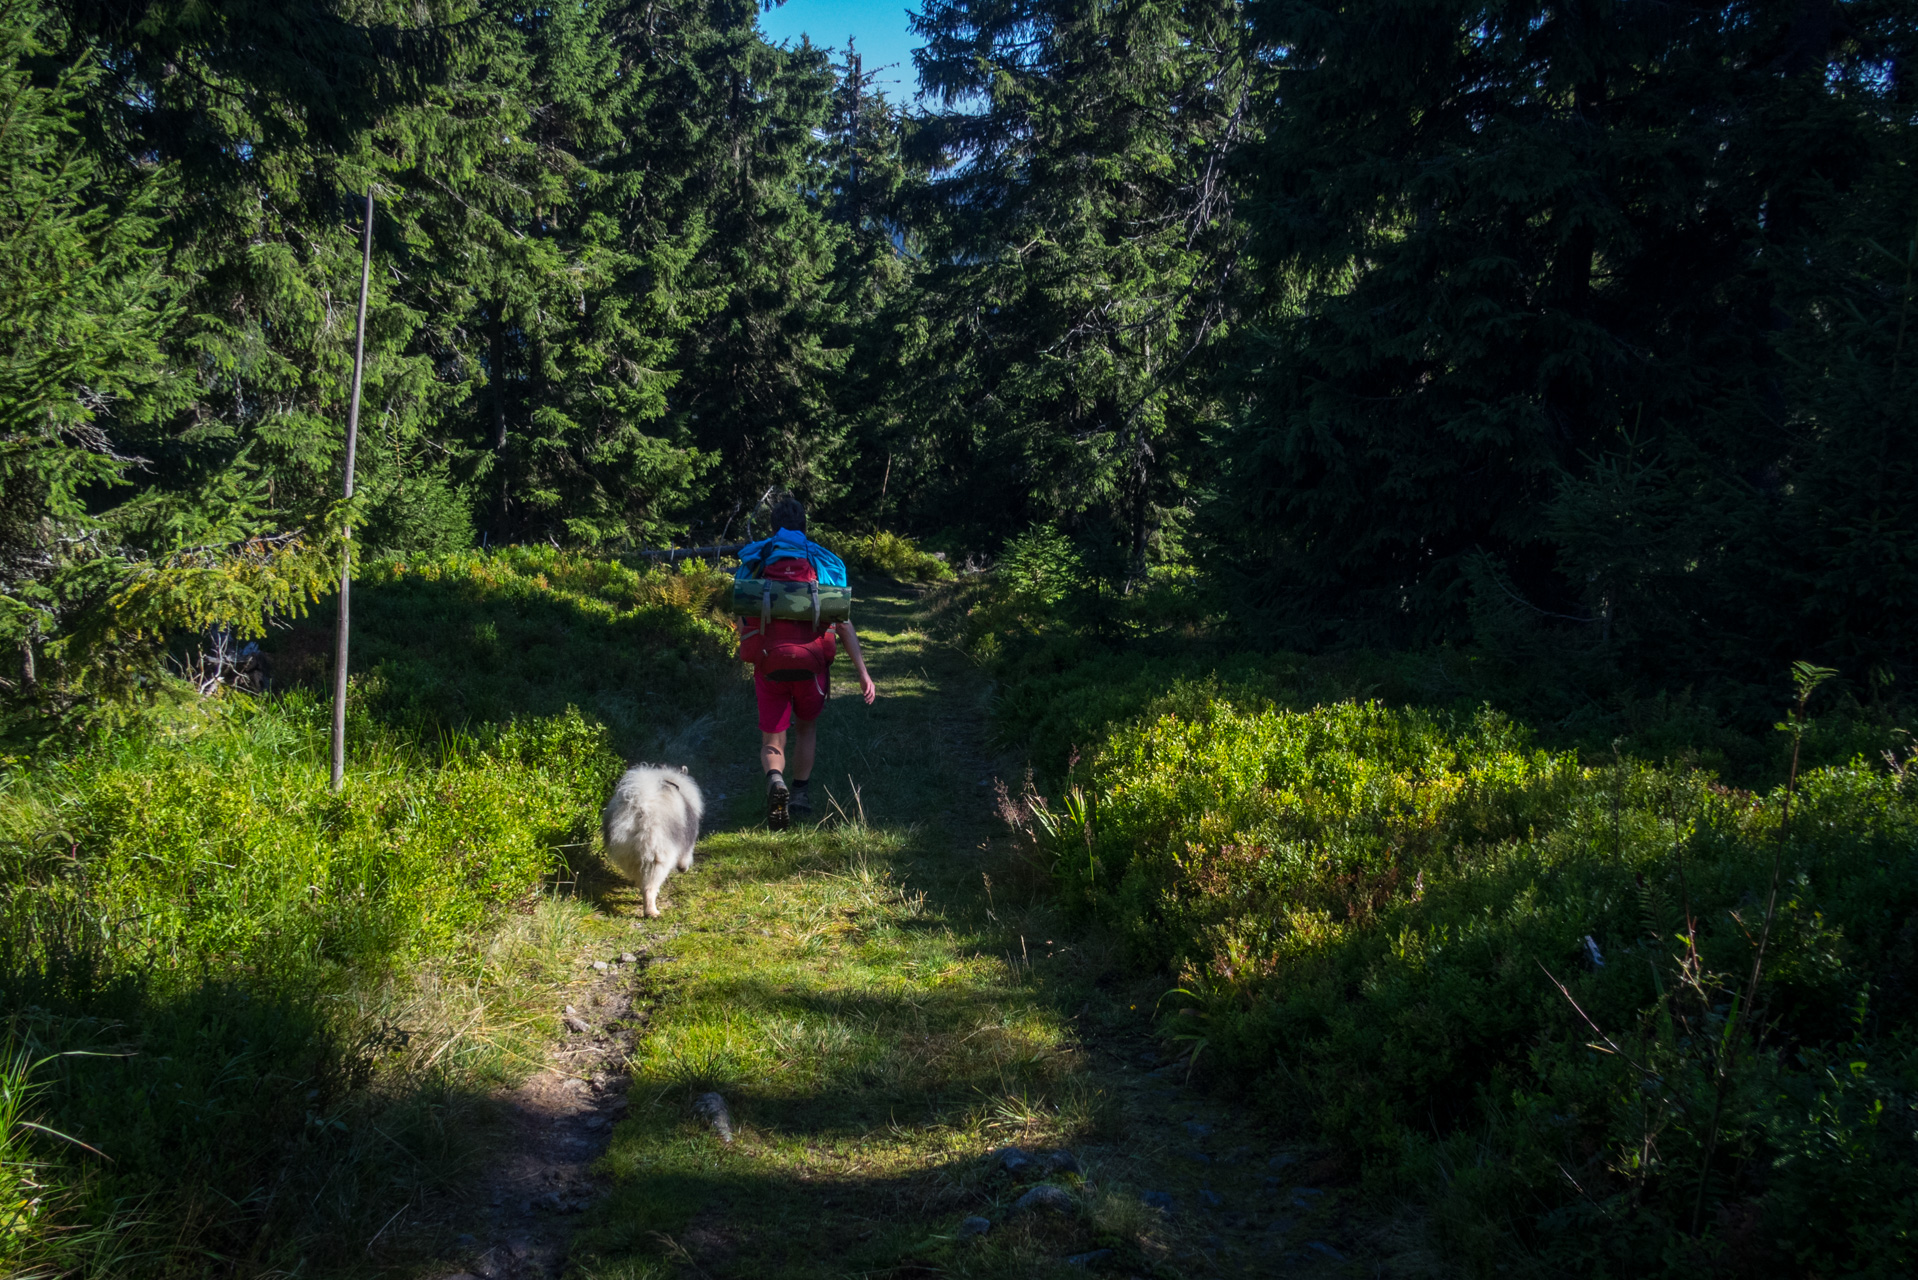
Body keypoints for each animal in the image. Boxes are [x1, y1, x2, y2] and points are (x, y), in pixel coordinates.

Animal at [598, 767, 705, 917]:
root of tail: (639, 807)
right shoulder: (686, 843)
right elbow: (685, 857)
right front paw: (684, 868)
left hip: (628, 853)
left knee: (639, 876)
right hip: (657, 855)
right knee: (650, 886)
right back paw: (651, 912)